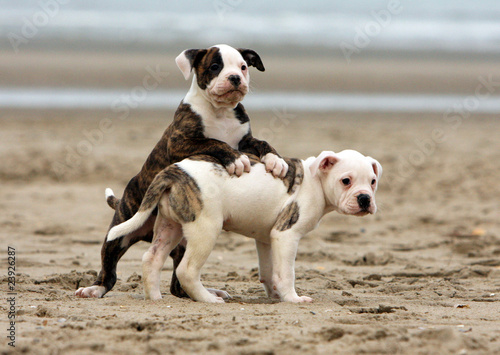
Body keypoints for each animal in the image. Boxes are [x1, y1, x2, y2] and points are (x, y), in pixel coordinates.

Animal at [107, 149, 380, 304]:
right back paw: (208, 299)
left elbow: (270, 271)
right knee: (186, 270)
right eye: (346, 181)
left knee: (151, 258)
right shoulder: (287, 234)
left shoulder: (267, 238)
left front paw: (275, 295)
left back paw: (153, 297)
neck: (316, 182)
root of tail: (173, 171)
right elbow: (287, 272)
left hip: (169, 225)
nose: (364, 199)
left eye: (373, 181)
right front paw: (292, 298)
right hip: (205, 229)